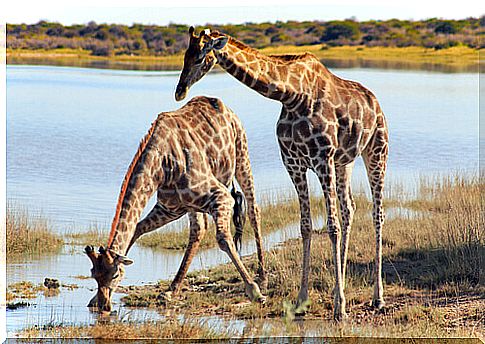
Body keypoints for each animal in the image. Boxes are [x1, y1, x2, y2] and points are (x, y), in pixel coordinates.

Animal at [83, 95, 264, 314]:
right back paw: (171, 290)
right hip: (193, 205)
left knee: (254, 210)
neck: (161, 167)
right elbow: (137, 229)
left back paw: (262, 276)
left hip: (241, 153)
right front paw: (94, 298)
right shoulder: (169, 208)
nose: (103, 306)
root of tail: (221, 104)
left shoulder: (220, 197)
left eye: (115, 274)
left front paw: (254, 292)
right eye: (93, 274)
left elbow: (223, 239)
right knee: (198, 230)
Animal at [176, 27, 388, 320]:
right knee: (350, 209)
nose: (180, 91)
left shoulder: (322, 160)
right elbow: (306, 226)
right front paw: (302, 300)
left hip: (376, 151)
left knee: (377, 214)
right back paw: (343, 283)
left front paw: (339, 307)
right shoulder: (294, 163)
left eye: (200, 58)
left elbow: (330, 227)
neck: (291, 96)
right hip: (345, 161)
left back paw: (377, 298)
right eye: (184, 56)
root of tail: (375, 102)